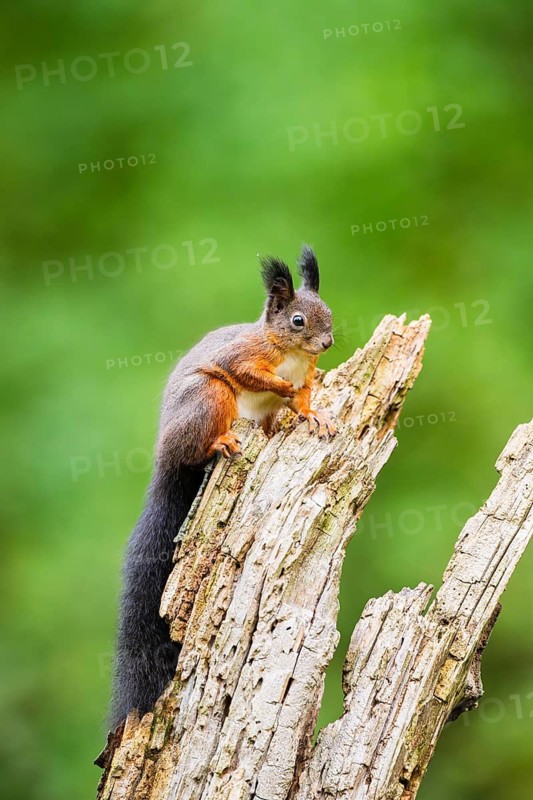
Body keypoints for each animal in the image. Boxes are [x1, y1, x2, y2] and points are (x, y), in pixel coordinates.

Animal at [109, 245, 336, 729]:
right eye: (298, 321)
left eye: (328, 313)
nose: (327, 343)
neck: (290, 353)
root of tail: (164, 459)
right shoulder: (241, 356)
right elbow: (250, 372)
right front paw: (278, 383)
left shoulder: (308, 375)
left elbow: (303, 397)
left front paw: (314, 415)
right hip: (209, 397)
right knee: (199, 446)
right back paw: (221, 441)